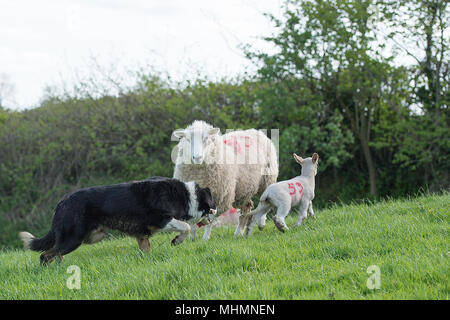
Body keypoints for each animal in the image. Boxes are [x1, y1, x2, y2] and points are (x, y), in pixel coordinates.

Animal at [20, 176, 217, 264]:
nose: (215, 217)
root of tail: (61, 203)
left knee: (55, 253)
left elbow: (146, 251)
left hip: (90, 236)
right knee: (45, 255)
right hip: (74, 238)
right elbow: (185, 227)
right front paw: (176, 241)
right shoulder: (161, 219)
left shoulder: (141, 235)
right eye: (212, 206)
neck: (185, 196)